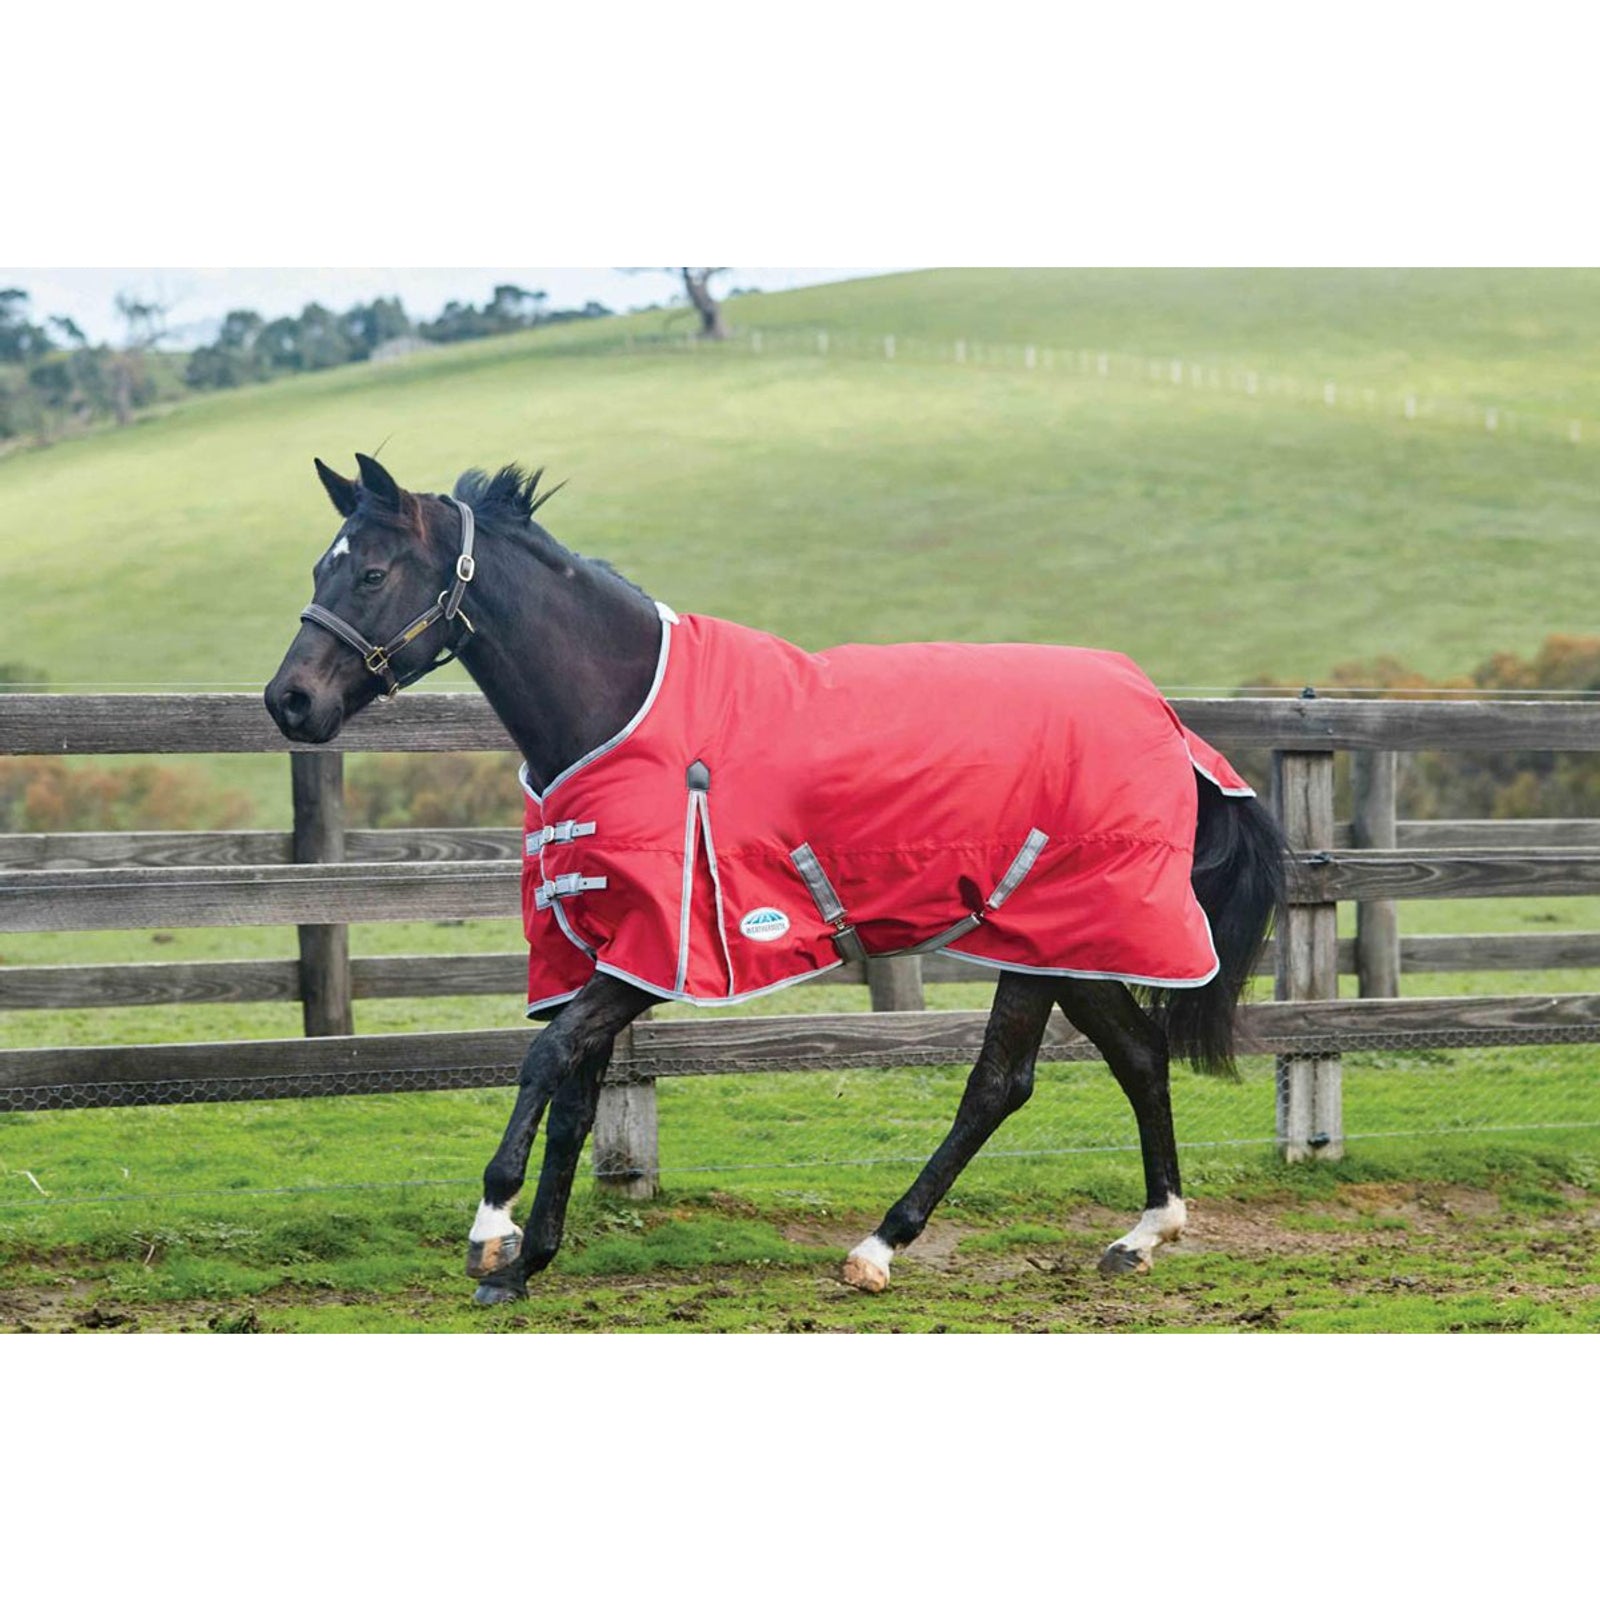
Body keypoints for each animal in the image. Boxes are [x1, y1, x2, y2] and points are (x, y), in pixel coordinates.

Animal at [265, 453, 1285, 1305]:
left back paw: (879, 1248)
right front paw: (529, 1264)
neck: (623, 711)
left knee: (1001, 1083)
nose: (289, 702)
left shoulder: (653, 957)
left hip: (1045, 939)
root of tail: (1169, 723)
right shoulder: (598, 949)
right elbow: (577, 1099)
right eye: (316, 570)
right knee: (1137, 1054)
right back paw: (1142, 1234)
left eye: (370, 573)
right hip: (1064, 943)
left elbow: (546, 1061)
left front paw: (492, 1232)